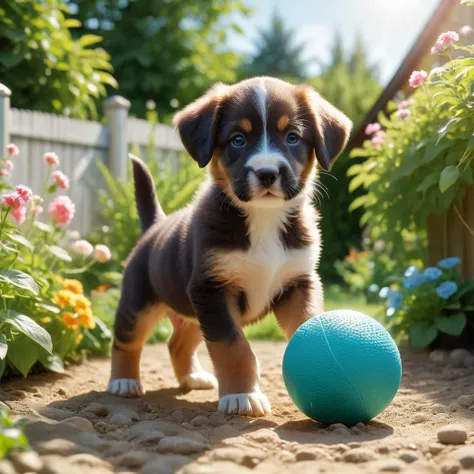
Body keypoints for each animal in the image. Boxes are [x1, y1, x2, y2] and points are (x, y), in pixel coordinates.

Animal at [107, 75, 352, 414]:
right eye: (238, 140)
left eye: (292, 137)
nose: (267, 173)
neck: (264, 220)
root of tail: (154, 226)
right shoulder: (213, 291)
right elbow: (233, 347)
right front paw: (241, 395)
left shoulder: (298, 283)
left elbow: (307, 323)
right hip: (139, 303)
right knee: (125, 340)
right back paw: (124, 382)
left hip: (193, 310)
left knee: (177, 342)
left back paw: (192, 377)